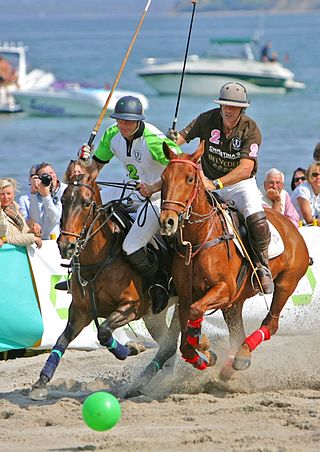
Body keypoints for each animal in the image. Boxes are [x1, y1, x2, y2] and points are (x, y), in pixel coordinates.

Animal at [30, 169, 180, 400]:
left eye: (86, 203)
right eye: (63, 200)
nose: (66, 246)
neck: (99, 258)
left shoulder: (131, 307)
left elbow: (103, 332)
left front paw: (133, 348)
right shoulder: (79, 310)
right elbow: (62, 340)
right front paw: (40, 382)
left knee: (171, 343)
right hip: (154, 315)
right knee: (168, 345)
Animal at [161, 143, 308, 376]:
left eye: (190, 179)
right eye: (163, 177)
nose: (168, 221)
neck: (199, 239)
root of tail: (293, 227)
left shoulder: (225, 289)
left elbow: (196, 312)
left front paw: (202, 342)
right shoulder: (186, 297)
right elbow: (185, 344)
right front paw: (205, 353)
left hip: (287, 281)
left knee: (271, 323)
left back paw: (242, 355)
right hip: (235, 304)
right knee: (238, 332)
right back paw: (231, 364)